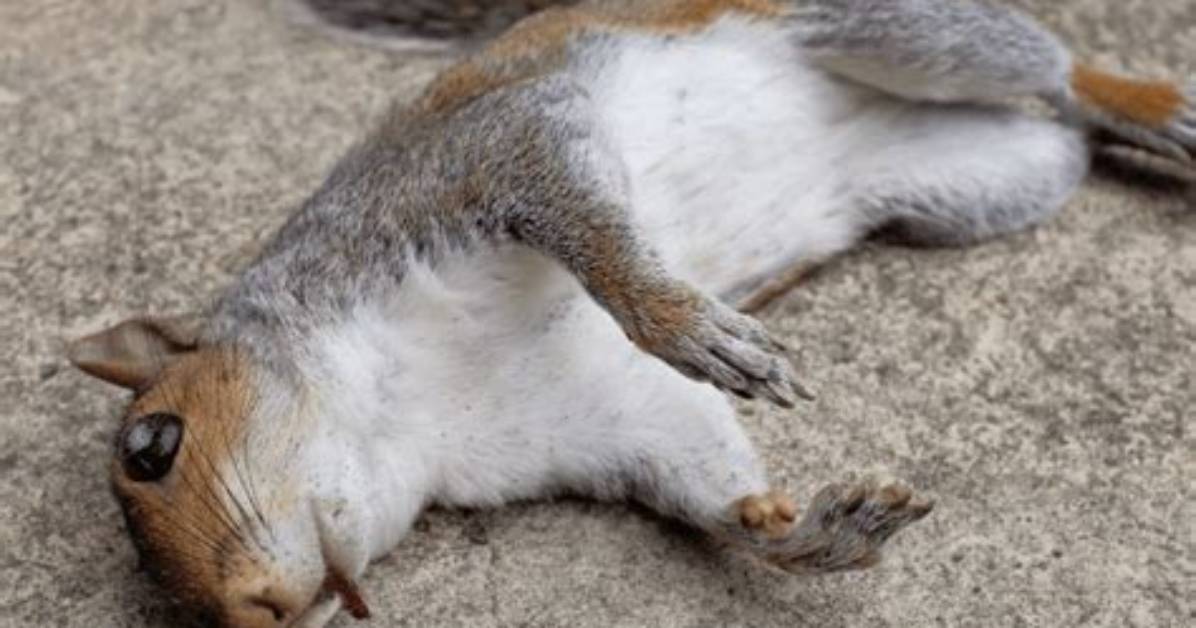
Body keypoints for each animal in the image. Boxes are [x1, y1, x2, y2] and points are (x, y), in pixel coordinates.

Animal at [68, 0, 1193, 626]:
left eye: (151, 444)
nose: (252, 615)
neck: (398, 409)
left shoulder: (473, 162)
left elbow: (581, 214)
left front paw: (686, 324)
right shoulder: (592, 412)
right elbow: (695, 459)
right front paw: (799, 532)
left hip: (902, 34)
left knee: (1055, 72)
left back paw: (1151, 104)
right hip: (978, 180)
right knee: (1062, 135)